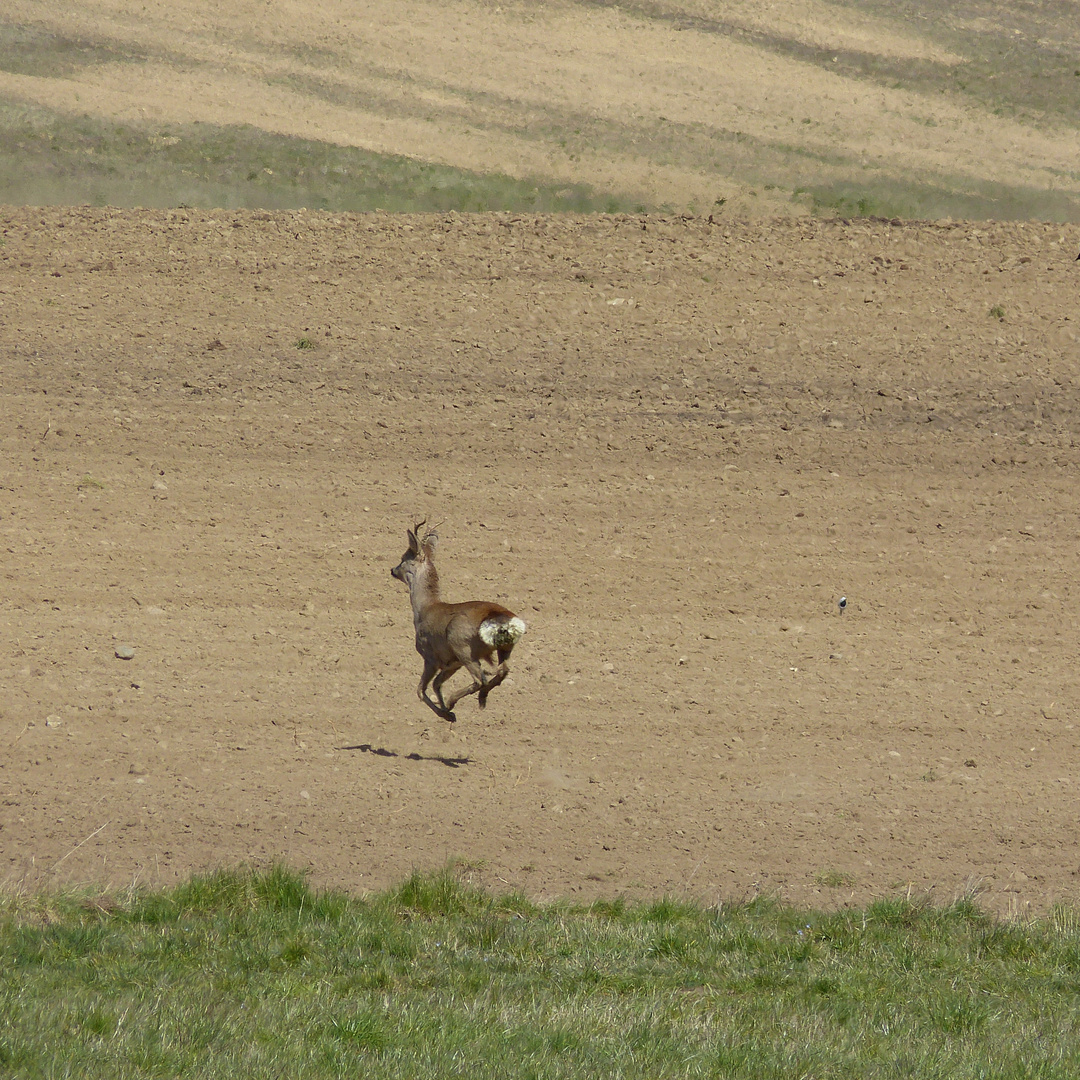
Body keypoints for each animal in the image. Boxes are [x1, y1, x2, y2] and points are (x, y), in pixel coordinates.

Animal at [393, 520, 527, 721]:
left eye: (403, 557)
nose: (392, 570)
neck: (424, 609)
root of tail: (498, 617)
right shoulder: (452, 663)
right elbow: (436, 684)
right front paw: (446, 710)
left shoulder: (430, 656)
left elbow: (420, 690)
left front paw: (445, 713)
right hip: (503, 648)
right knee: (501, 672)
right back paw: (480, 699)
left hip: (462, 646)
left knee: (480, 679)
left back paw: (453, 701)